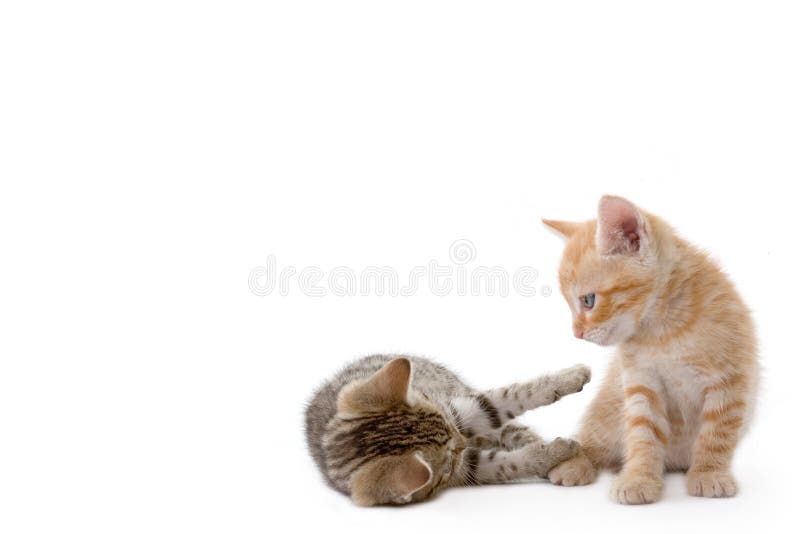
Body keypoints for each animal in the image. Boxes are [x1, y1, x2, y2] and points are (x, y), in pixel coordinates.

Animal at [304, 356, 588, 506]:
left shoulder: (456, 410)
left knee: (513, 429)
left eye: (450, 424)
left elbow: (508, 397)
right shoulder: (469, 468)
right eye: (448, 461)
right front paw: (551, 452)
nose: (463, 440)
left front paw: (573, 376)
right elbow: (513, 463)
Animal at [544, 196, 756, 506]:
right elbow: (643, 434)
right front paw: (638, 478)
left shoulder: (729, 380)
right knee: (592, 442)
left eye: (588, 300)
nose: (576, 333)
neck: (663, 330)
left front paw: (709, 473)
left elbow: (717, 433)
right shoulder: (641, 383)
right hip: (607, 413)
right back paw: (576, 463)